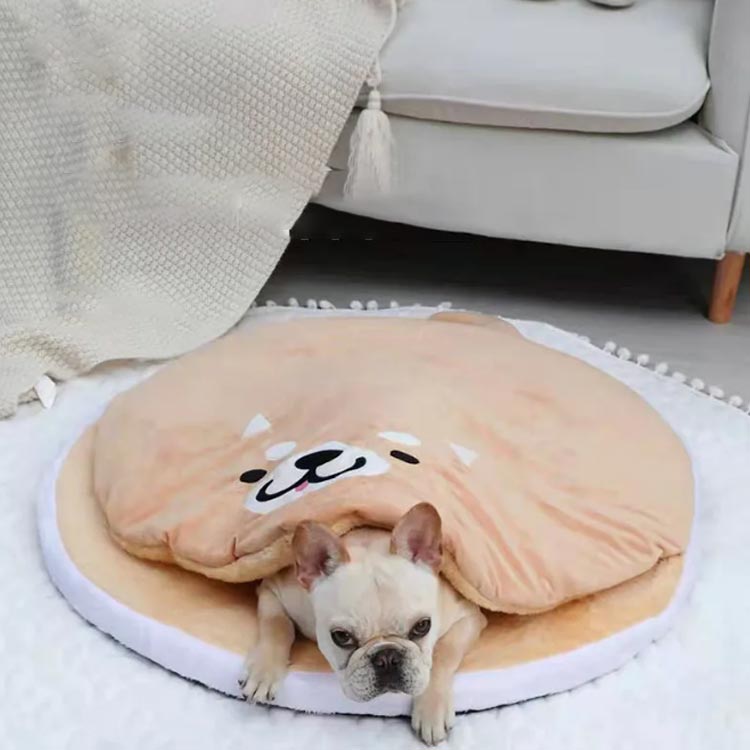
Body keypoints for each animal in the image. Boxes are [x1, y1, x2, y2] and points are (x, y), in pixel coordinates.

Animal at [241, 502, 487, 745]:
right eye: (341, 637)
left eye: (422, 626)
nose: (387, 657)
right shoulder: (272, 591)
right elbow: (276, 626)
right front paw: (263, 672)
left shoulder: (469, 616)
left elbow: (443, 653)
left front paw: (431, 709)